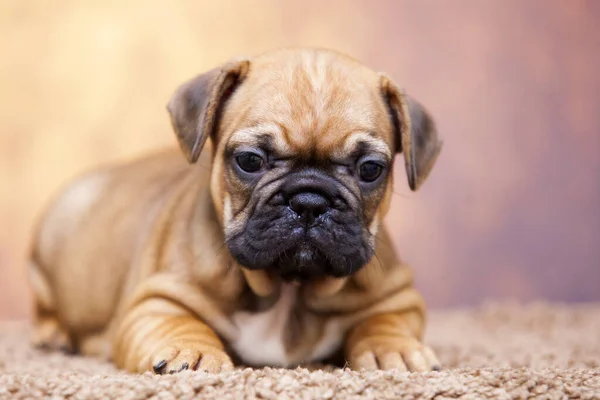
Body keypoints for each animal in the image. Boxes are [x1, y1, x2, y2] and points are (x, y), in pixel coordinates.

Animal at [29, 47, 440, 376]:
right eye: (249, 160)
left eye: (370, 169)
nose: (309, 201)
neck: (289, 286)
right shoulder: (154, 302)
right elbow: (181, 323)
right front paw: (190, 352)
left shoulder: (398, 296)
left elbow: (383, 322)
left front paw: (395, 349)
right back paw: (54, 333)